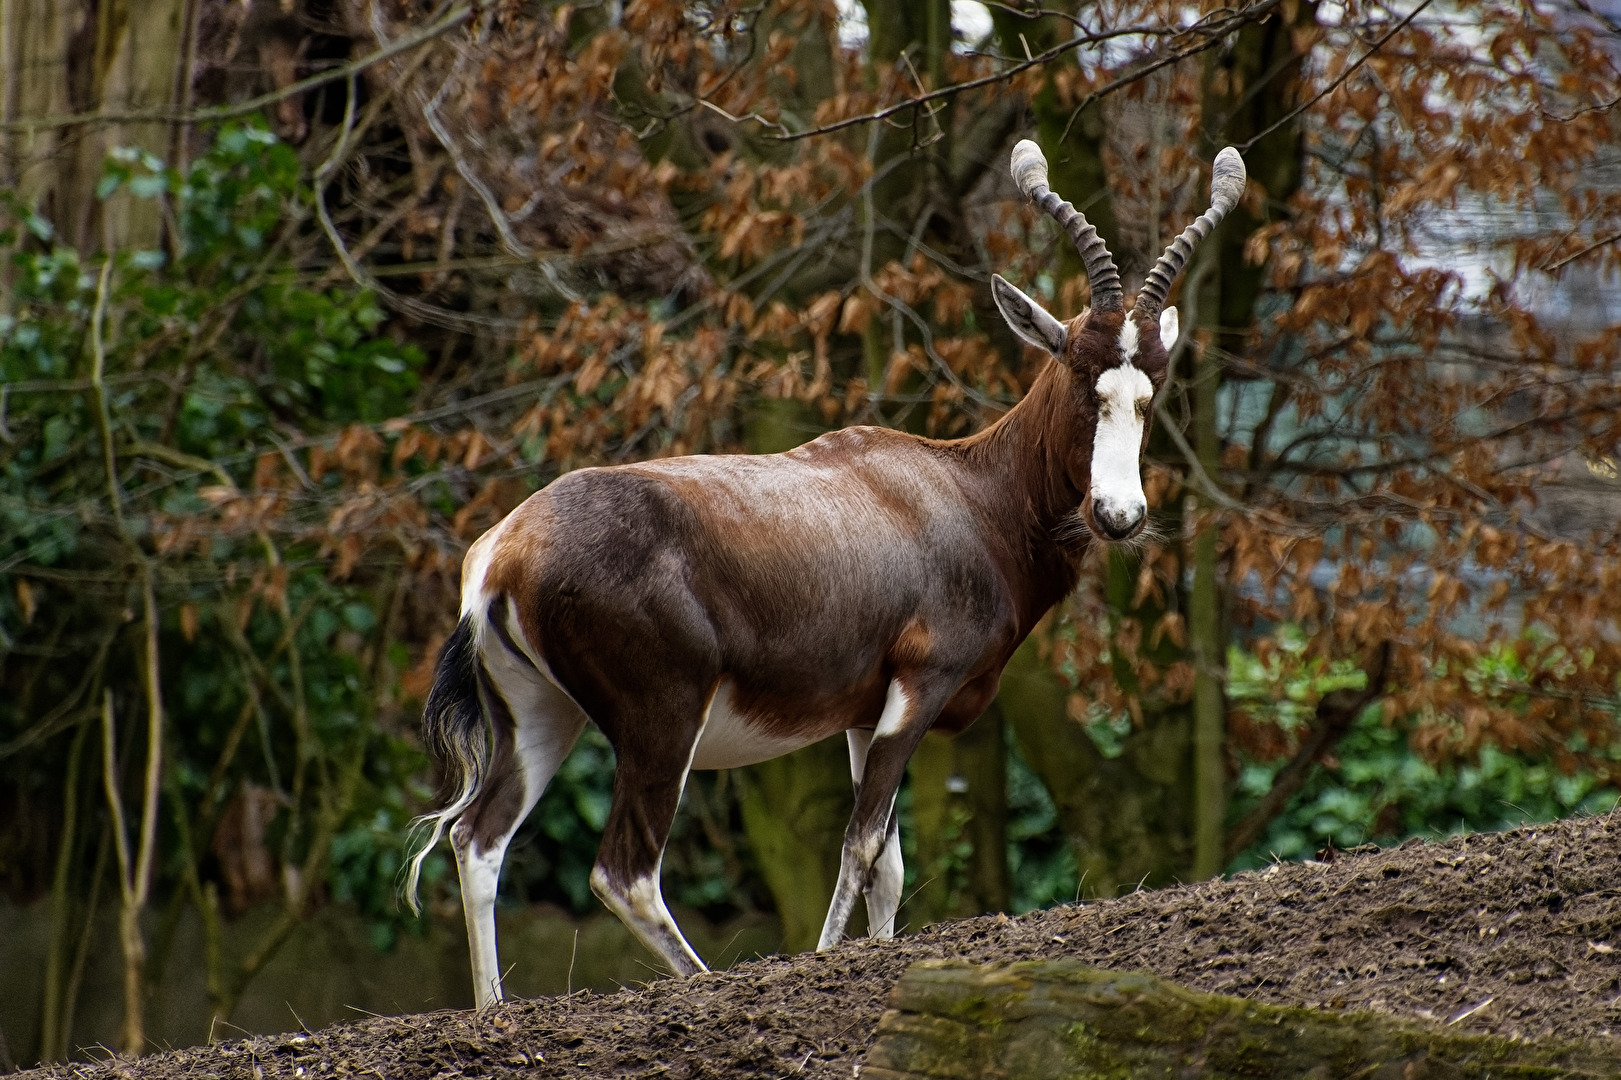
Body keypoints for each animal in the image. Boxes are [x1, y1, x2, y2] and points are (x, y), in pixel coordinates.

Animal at [408, 138, 1251, 1005]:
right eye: (1083, 375)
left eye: (1150, 390)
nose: (1118, 515)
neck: (963, 490)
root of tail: (505, 550)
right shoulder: (919, 688)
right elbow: (863, 846)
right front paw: (823, 960)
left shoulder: (862, 712)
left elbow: (889, 864)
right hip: (661, 722)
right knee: (623, 872)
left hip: (540, 713)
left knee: (477, 840)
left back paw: (493, 1011)